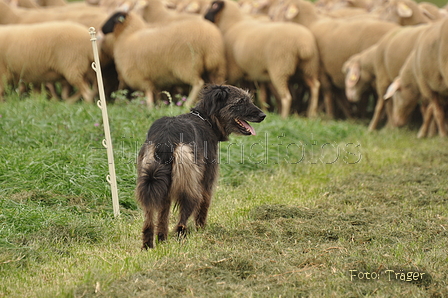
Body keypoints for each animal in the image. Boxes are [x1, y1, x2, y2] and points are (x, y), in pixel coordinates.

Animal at [135, 84, 264, 249]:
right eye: (241, 101)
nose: (263, 115)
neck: (206, 119)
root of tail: (166, 139)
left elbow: (163, 215)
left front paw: (162, 239)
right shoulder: (207, 182)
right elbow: (204, 206)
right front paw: (202, 230)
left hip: (151, 183)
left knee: (149, 220)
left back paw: (150, 245)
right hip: (190, 187)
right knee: (182, 222)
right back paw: (182, 239)